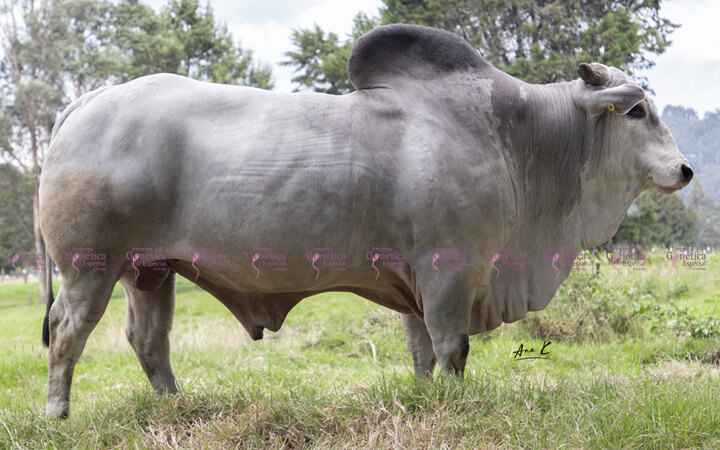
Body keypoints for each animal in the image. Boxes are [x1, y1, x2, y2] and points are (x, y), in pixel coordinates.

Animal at [39, 24, 693, 418]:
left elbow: (423, 353)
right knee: (68, 335)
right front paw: (456, 408)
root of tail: (89, 101)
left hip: (150, 272)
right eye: (636, 111)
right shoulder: (450, 271)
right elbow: (452, 348)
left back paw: (177, 409)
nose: (686, 169)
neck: (516, 135)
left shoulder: (415, 285)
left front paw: (429, 402)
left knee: (149, 340)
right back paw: (58, 416)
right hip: (89, 269)